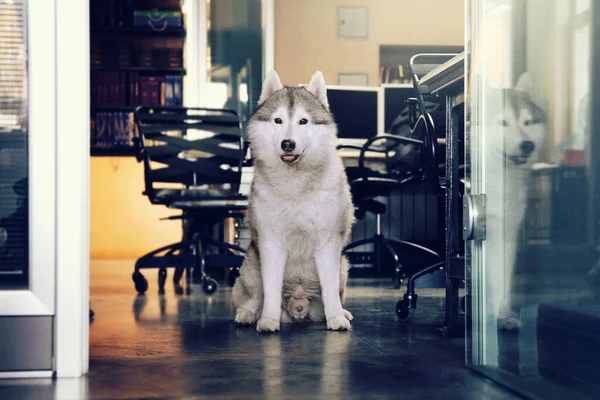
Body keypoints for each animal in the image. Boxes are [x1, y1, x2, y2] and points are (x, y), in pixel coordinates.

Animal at [233, 71, 356, 332]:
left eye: (303, 121)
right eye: (278, 120)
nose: (287, 144)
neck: (296, 185)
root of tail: (298, 305)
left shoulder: (328, 244)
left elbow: (330, 290)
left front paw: (336, 317)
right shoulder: (270, 244)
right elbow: (270, 289)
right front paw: (268, 320)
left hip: (343, 265)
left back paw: (343, 312)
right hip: (251, 266)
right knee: (254, 297)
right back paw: (248, 314)